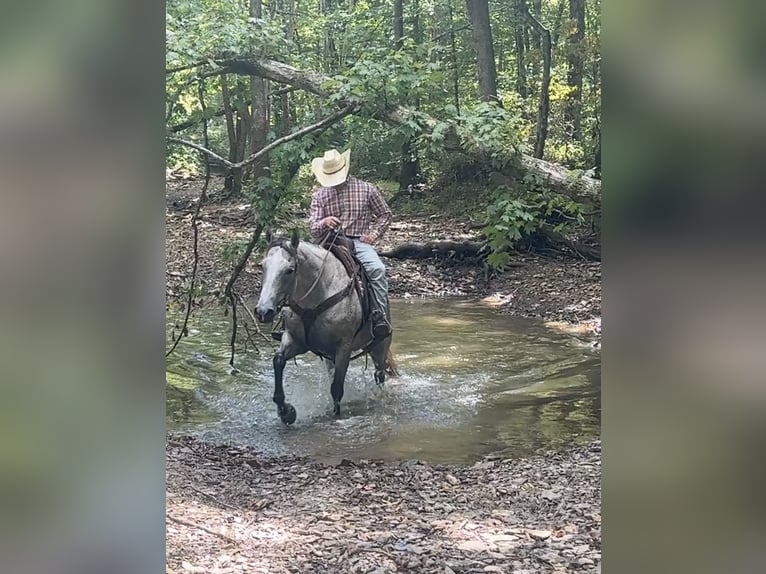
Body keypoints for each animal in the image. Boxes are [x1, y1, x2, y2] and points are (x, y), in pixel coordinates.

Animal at [255, 230, 394, 425]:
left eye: (289, 270)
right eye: (263, 266)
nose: (263, 311)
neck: (319, 293)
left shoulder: (343, 347)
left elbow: (336, 388)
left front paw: (334, 417)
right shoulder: (295, 340)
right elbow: (278, 361)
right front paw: (286, 411)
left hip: (380, 345)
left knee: (379, 375)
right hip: (329, 356)